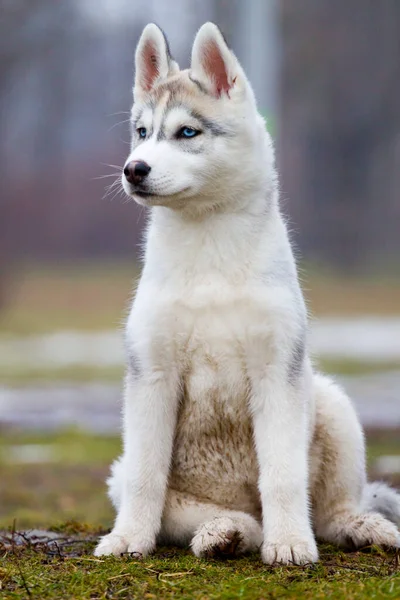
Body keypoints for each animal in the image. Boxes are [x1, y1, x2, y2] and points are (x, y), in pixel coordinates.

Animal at [94, 22, 400, 564]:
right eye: (142, 132)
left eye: (187, 133)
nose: (134, 169)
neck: (209, 245)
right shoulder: (152, 376)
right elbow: (146, 478)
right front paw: (129, 539)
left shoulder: (277, 373)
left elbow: (282, 477)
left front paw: (291, 544)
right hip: (137, 479)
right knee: (221, 516)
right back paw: (225, 533)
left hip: (332, 403)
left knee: (330, 513)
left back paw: (361, 527)